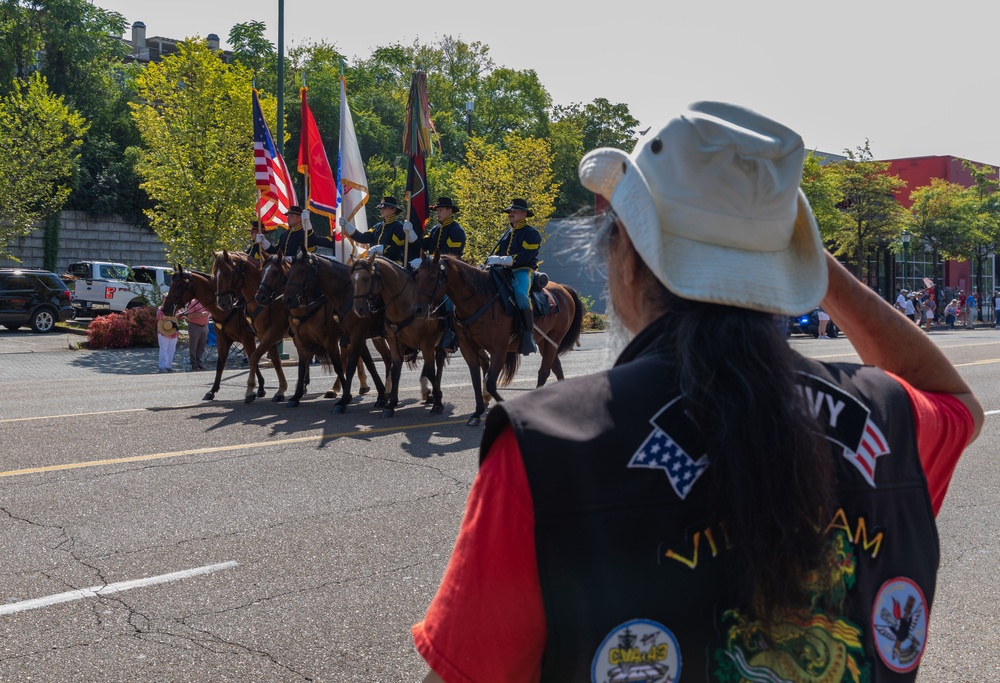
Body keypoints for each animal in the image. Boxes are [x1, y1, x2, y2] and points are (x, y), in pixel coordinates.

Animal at [162, 264, 268, 404]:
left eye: (178, 286)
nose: (164, 308)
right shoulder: (223, 340)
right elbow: (220, 364)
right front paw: (212, 391)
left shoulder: (247, 338)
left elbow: (253, 359)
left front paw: (260, 387)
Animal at [211, 250, 290, 404]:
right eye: (214, 275)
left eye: (227, 274)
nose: (221, 303)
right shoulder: (263, 335)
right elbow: (275, 361)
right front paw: (281, 390)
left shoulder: (272, 333)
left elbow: (254, 357)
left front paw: (251, 390)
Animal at [282, 251, 394, 412]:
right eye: (288, 273)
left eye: (302, 271)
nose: (287, 299)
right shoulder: (302, 342)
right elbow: (369, 364)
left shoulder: (338, 339)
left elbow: (342, 366)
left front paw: (345, 399)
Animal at [352, 255, 446, 420]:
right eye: (352, 279)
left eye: (366, 278)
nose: (359, 309)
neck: (404, 303)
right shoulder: (395, 342)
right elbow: (395, 370)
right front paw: (390, 405)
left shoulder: (426, 343)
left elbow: (430, 370)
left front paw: (438, 403)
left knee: (439, 363)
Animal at [410, 254, 584, 424]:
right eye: (417, 276)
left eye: (433, 277)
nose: (417, 309)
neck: (478, 300)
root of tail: (564, 289)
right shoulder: (468, 348)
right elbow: (476, 380)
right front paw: (477, 412)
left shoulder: (499, 349)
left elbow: (491, 383)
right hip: (544, 342)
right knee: (556, 367)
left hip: (553, 340)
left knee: (544, 372)